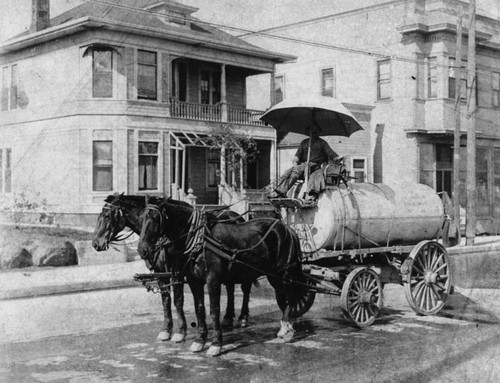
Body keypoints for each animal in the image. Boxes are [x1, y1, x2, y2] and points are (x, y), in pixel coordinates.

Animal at [92, 195, 252, 344]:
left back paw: (243, 317)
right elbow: (166, 301)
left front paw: (180, 332)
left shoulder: (177, 272)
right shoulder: (160, 273)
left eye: (107, 216)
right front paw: (166, 330)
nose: (95, 243)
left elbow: (178, 301)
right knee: (230, 288)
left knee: (245, 288)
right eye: (99, 215)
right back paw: (228, 317)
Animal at [138, 198, 308, 356]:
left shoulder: (212, 280)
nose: (142, 250)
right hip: (273, 275)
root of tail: (287, 228)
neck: (200, 239)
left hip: (282, 274)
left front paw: (215, 344)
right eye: (142, 217)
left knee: (291, 295)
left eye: (155, 218)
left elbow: (214, 310)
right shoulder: (193, 281)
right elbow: (199, 308)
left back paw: (286, 329)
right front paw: (199, 340)